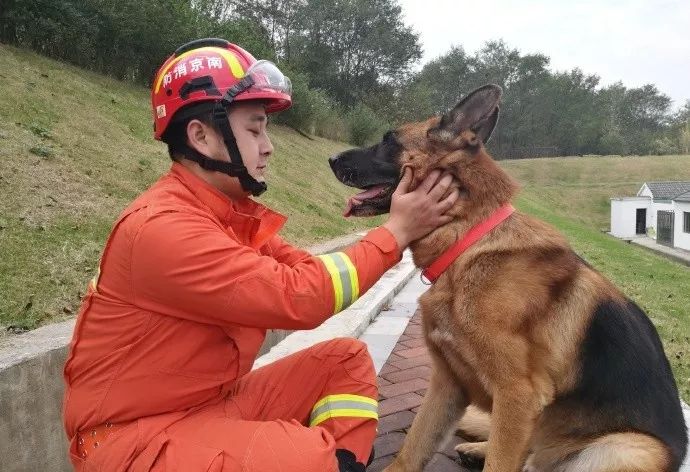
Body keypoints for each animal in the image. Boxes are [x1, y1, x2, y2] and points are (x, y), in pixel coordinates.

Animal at [330, 85, 684, 472]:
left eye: (388, 141)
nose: (331, 158)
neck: (468, 242)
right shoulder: (446, 384)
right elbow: (412, 448)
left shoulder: (517, 396)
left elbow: (499, 462)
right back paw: (476, 449)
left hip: (625, 448)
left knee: (534, 463)